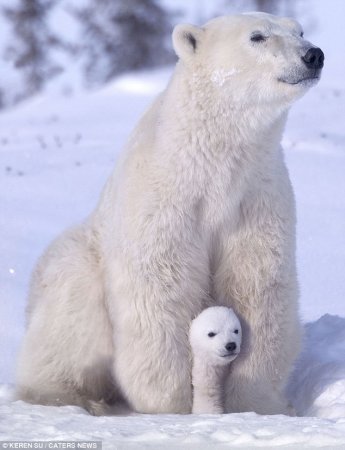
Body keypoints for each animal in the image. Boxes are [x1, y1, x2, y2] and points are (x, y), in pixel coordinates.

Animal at [16, 12, 322, 416]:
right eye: (257, 36)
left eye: (299, 30)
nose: (313, 55)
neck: (213, 165)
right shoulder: (164, 201)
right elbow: (160, 288)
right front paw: (172, 404)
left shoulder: (255, 198)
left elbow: (258, 286)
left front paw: (256, 401)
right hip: (72, 269)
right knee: (67, 318)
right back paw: (72, 398)